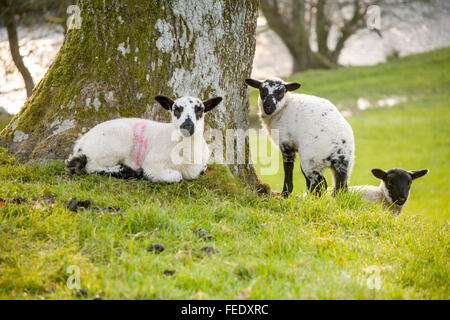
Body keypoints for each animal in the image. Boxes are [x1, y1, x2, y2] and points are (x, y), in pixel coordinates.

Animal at [64, 95, 221, 182]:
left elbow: (202, 169)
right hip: (114, 143)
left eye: (200, 110)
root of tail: (82, 141)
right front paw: (147, 175)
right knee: (90, 166)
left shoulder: (202, 165)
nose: (187, 126)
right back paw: (126, 171)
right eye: (176, 110)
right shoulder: (153, 164)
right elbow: (176, 176)